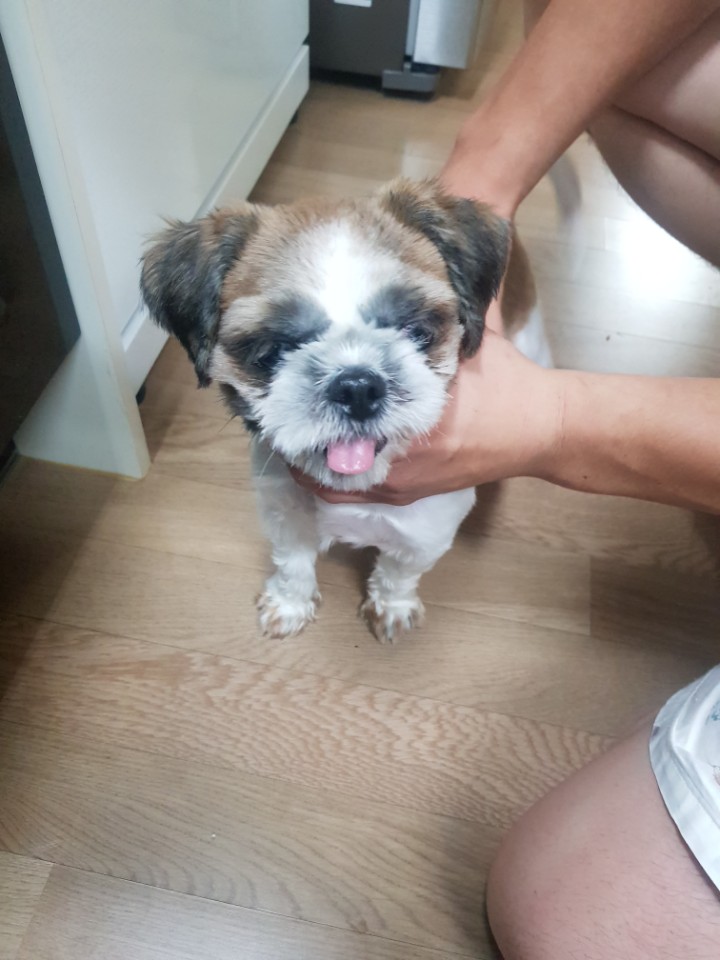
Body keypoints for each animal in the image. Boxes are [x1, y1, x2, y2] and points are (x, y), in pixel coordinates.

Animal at [141, 177, 553, 643]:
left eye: (417, 331)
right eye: (271, 351)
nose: (356, 386)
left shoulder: (425, 533)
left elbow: (398, 572)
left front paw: (391, 607)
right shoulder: (284, 512)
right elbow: (293, 563)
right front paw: (290, 602)